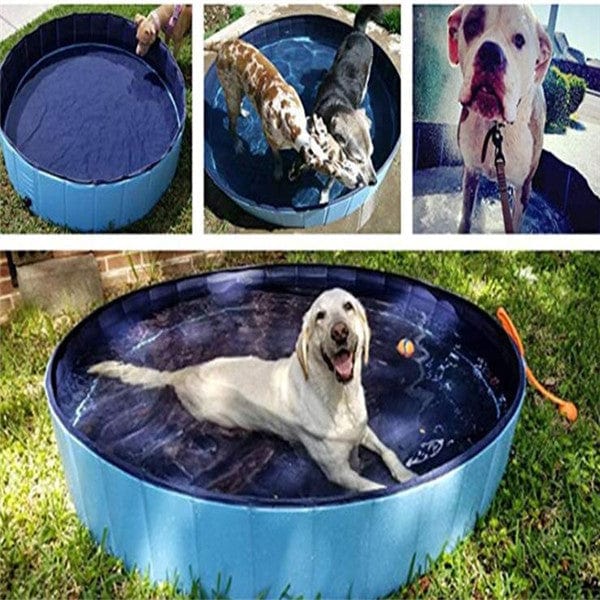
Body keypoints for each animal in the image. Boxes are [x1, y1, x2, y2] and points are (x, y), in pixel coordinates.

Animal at [89, 290, 414, 492]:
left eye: (348, 307)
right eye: (320, 316)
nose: (340, 332)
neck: (338, 396)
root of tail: (182, 373)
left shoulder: (362, 430)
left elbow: (388, 451)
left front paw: (407, 474)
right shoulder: (337, 472)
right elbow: (372, 488)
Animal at [206, 38, 366, 200]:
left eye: (343, 158)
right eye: (333, 173)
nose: (359, 181)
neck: (289, 120)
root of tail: (224, 44)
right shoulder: (271, 142)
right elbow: (278, 159)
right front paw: (278, 172)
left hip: (240, 90)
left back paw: (243, 112)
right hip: (231, 94)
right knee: (231, 125)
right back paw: (237, 144)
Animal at [290, 4, 382, 204]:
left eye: (371, 154)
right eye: (358, 159)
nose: (374, 181)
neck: (338, 108)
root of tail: (360, 33)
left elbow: (330, 182)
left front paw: (324, 195)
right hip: (339, 53)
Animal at [448, 5, 552, 233]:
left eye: (520, 40)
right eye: (471, 26)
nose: (490, 53)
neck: (496, 126)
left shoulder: (524, 188)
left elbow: (515, 224)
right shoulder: (470, 171)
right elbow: (466, 215)